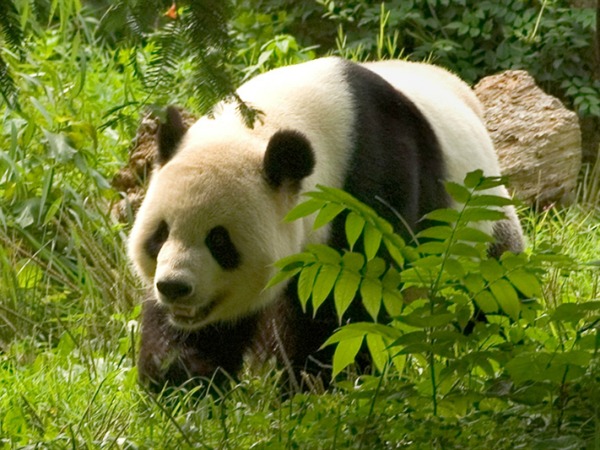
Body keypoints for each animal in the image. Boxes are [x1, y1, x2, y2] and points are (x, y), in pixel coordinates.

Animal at [129, 58, 524, 392]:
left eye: (220, 242)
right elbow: (201, 332)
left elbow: (350, 298)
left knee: (496, 292)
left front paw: (316, 383)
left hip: (480, 228)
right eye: (160, 235)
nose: (174, 287)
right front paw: (183, 384)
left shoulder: (372, 185)